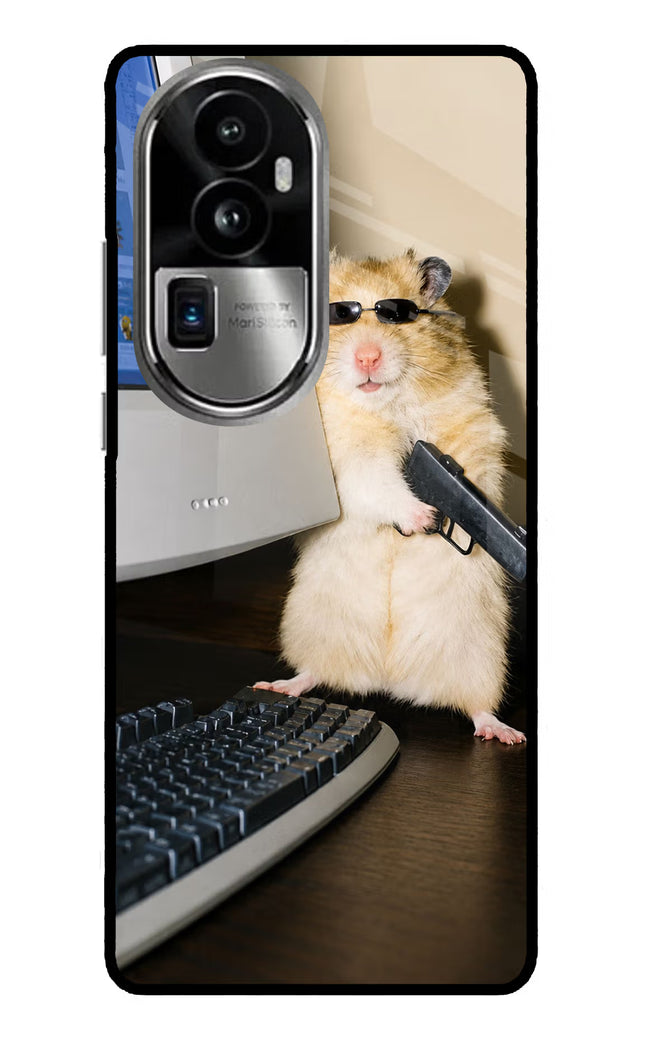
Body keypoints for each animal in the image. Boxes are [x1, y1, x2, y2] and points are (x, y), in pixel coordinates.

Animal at [256, 249, 525, 744]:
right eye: (338, 315)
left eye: (397, 314)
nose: (368, 357)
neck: (385, 405)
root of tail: (389, 679)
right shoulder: (348, 460)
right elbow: (378, 483)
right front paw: (423, 518)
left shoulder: (472, 428)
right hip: (312, 626)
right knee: (314, 672)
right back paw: (279, 685)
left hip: (480, 654)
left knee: (477, 705)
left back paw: (504, 733)